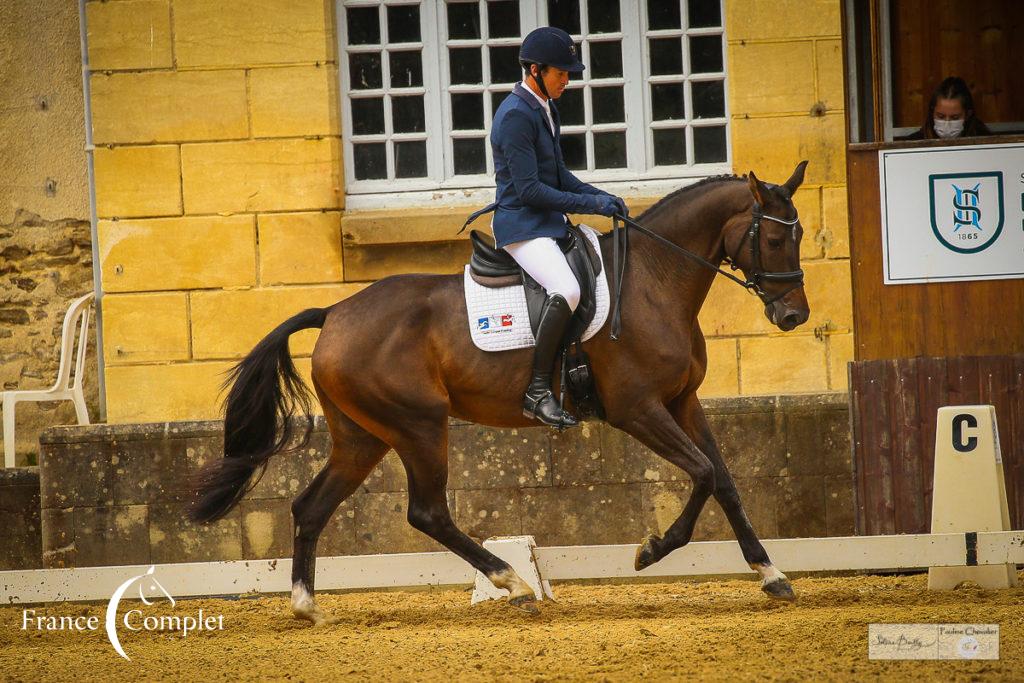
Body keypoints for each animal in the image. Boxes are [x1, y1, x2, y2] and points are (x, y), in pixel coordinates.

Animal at [192, 160, 811, 626]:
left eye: (799, 234)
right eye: (774, 237)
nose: (793, 316)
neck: (654, 283)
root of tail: (336, 312)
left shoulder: (683, 401)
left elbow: (724, 481)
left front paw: (771, 574)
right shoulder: (638, 410)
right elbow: (702, 472)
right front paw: (651, 550)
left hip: (364, 437)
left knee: (312, 506)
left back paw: (307, 606)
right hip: (419, 426)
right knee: (427, 512)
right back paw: (510, 580)